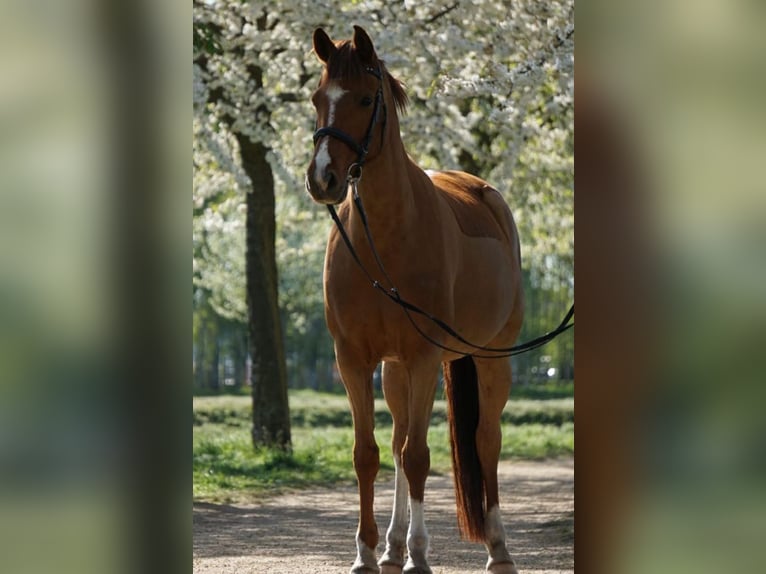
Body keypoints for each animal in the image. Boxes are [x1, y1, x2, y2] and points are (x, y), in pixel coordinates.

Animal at [308, 27, 528, 574]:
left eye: (365, 99)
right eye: (318, 98)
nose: (322, 179)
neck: (384, 237)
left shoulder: (426, 356)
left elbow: (418, 457)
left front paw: (420, 554)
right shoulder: (354, 359)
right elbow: (369, 454)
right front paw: (367, 551)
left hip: (491, 359)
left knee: (484, 442)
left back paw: (498, 548)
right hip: (395, 371)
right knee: (397, 439)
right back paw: (392, 545)